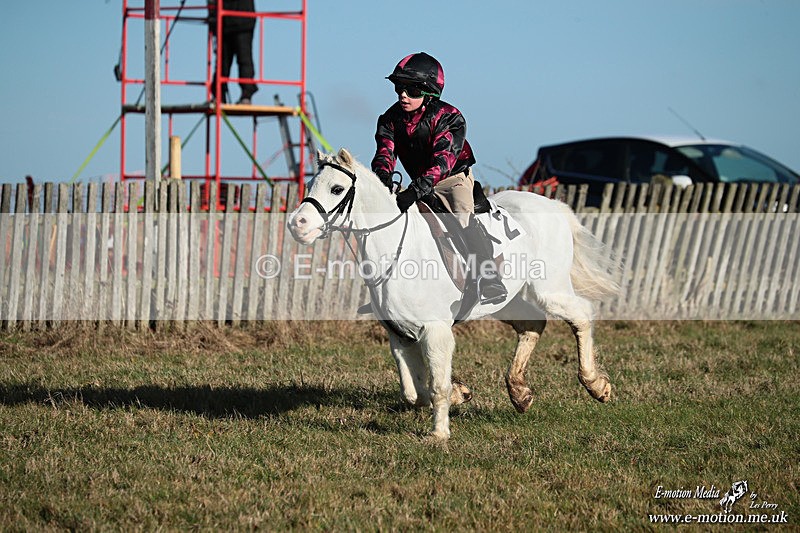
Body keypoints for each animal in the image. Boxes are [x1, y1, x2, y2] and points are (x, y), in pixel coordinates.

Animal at [287, 148, 619, 440]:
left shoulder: (436, 331)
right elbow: (414, 392)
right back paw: (519, 392)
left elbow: (436, 387)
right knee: (533, 325)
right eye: (310, 185)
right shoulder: (400, 335)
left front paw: (439, 433)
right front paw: (461, 393)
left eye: (337, 188)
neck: (396, 248)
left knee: (582, 315)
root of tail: (555, 206)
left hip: (548, 289)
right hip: (507, 302)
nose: (296, 224)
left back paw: (596, 385)